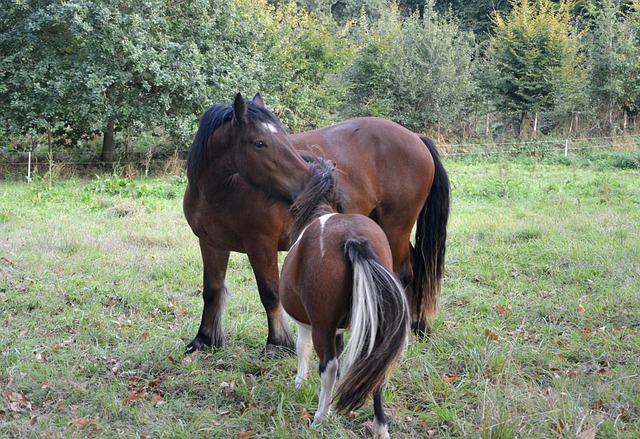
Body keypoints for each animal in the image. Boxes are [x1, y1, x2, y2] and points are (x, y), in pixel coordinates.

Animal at [280, 156, 410, 438]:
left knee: (327, 366)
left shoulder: (307, 325)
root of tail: (354, 240)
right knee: (375, 369)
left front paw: (299, 383)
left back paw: (320, 416)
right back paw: (380, 427)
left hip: (322, 325)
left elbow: (302, 349)